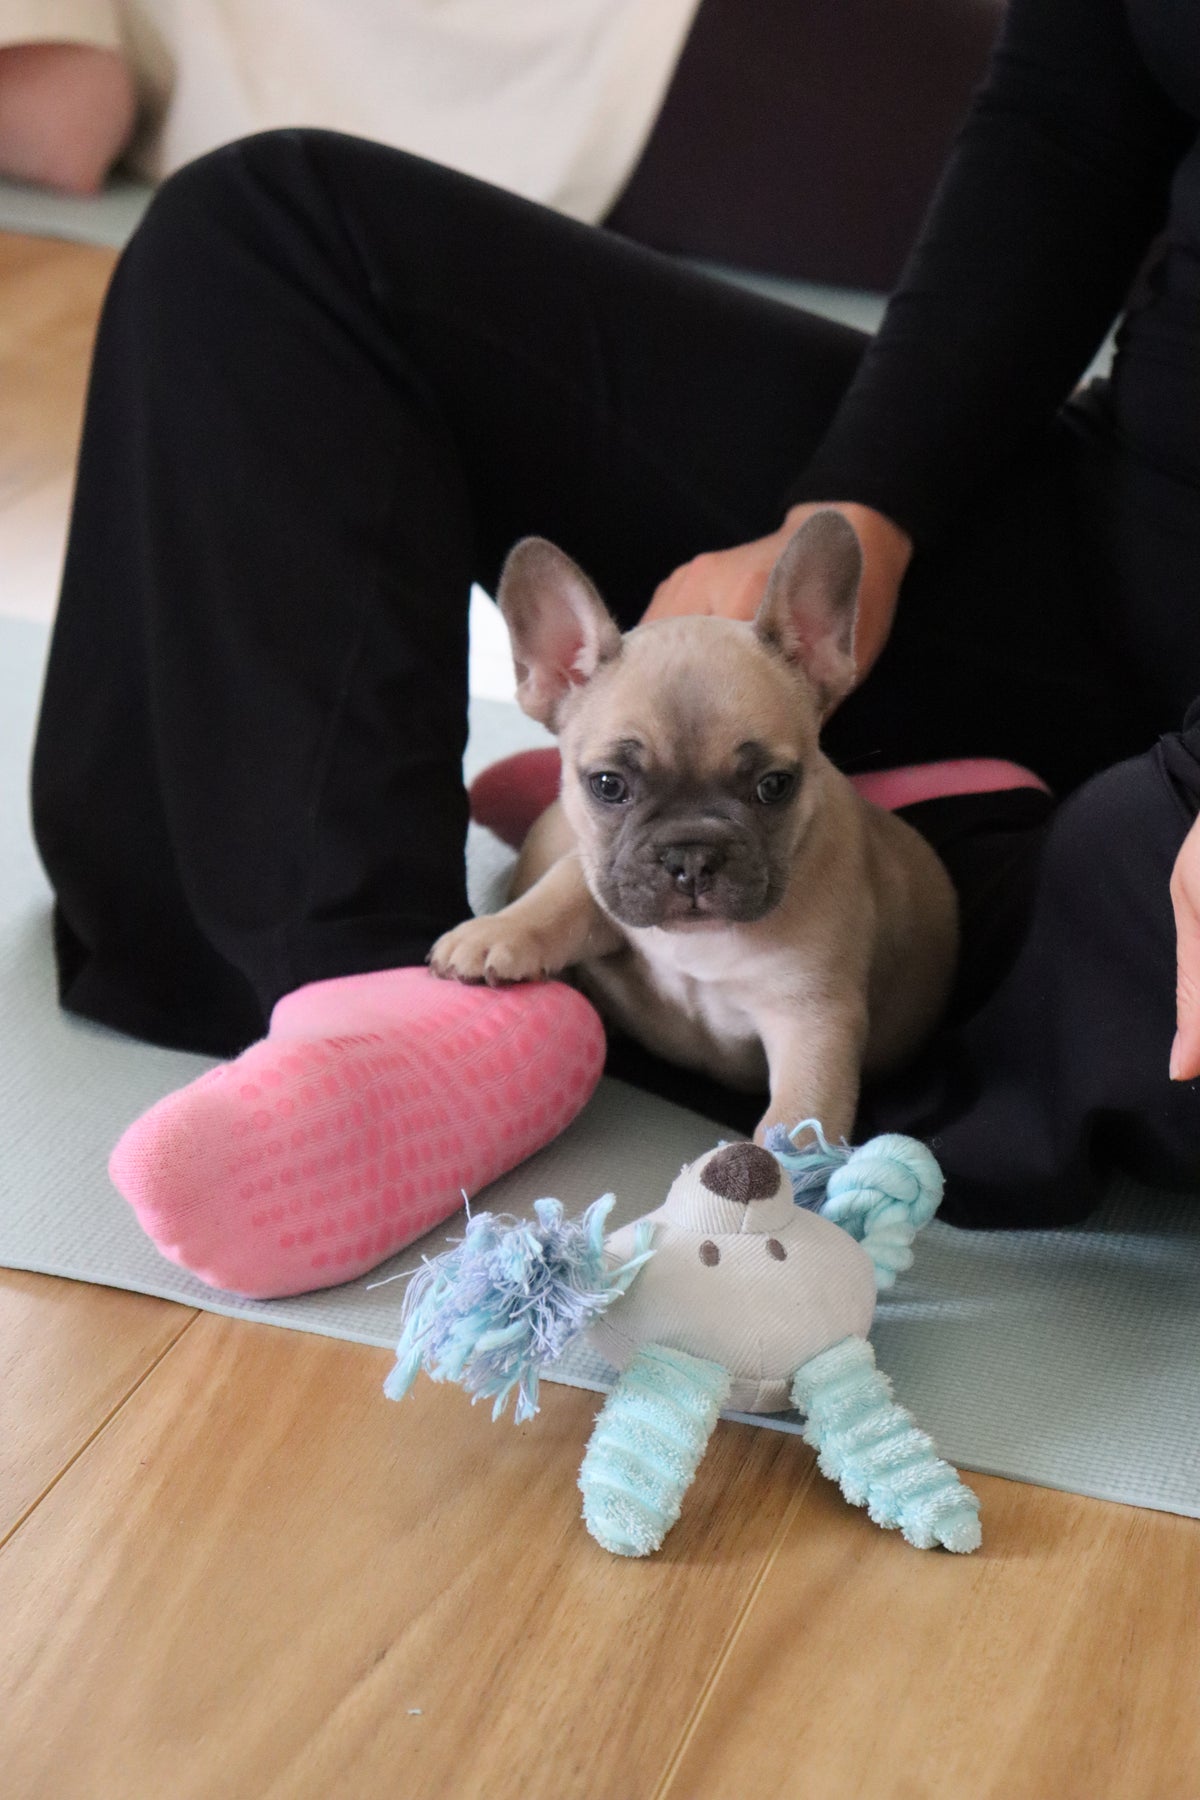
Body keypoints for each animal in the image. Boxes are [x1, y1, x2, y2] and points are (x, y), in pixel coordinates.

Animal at [431, 511, 958, 1144]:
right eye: (608, 785)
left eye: (774, 786)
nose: (692, 856)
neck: (700, 944)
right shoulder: (603, 878)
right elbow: (565, 892)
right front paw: (496, 932)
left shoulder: (815, 1025)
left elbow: (793, 1124)